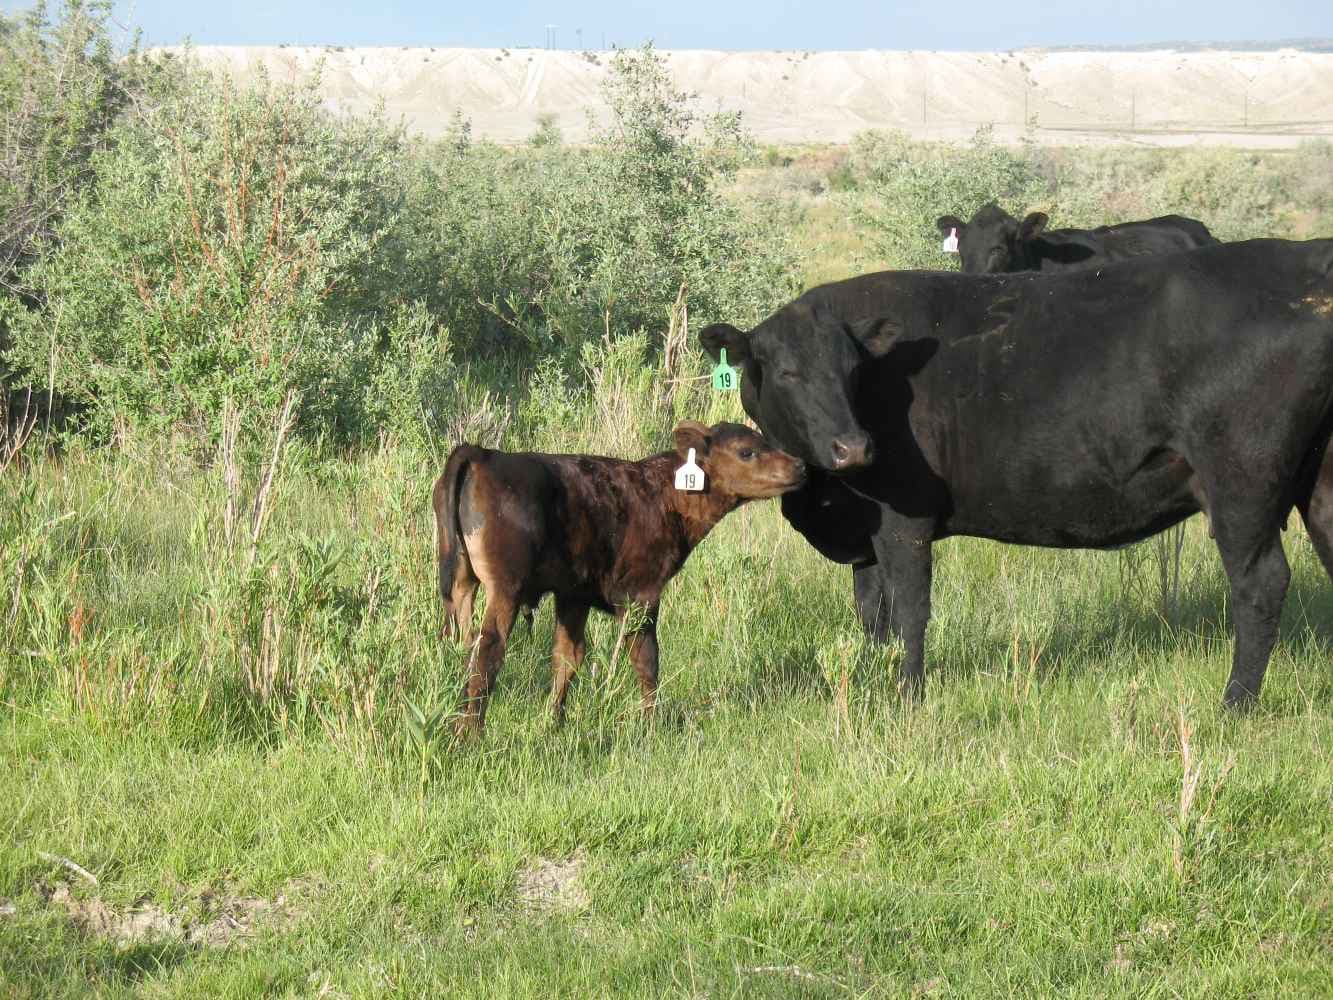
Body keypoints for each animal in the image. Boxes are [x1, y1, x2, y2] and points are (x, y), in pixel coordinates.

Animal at [433, 422, 806, 734]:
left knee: (458, 642)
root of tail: (483, 454)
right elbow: (646, 658)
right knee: (487, 650)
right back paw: (470, 735)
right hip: (505, 588)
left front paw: (553, 724)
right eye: (746, 451)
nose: (800, 465)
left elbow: (567, 657)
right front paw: (652, 725)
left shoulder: (574, 594)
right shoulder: (642, 593)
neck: (664, 495)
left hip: (461, 582)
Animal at [701, 238, 1333, 709]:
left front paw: (908, 695)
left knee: (1260, 584)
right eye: (787, 371)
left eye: (852, 370)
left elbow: (910, 608)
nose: (853, 447)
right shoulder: (866, 530)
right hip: (1319, 484)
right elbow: (872, 611)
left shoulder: (904, 518)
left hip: (1241, 483)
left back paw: (1234, 703)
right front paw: (878, 677)